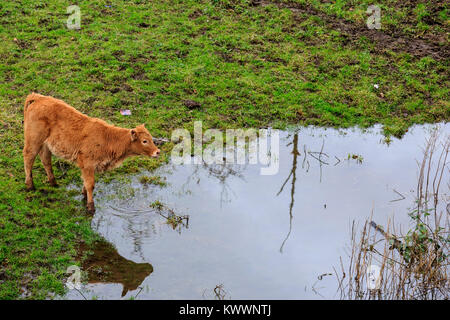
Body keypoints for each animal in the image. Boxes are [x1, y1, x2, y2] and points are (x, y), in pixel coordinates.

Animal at [23, 92, 160, 212]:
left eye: (151, 138)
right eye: (144, 141)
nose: (157, 152)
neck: (108, 138)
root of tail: (38, 98)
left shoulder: (90, 167)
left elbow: (86, 183)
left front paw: (84, 195)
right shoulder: (88, 164)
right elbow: (90, 184)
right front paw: (90, 207)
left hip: (45, 145)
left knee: (46, 160)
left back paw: (53, 183)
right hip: (34, 141)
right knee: (29, 157)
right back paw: (30, 186)